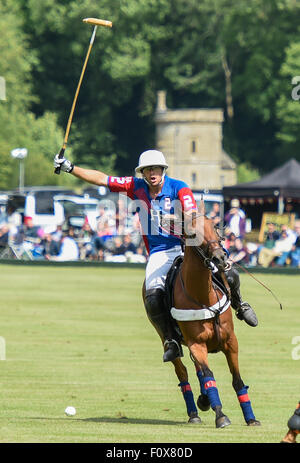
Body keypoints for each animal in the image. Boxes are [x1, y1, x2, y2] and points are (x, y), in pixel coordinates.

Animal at [142, 205, 258, 430]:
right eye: (193, 233)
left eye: (215, 227)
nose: (220, 258)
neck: (202, 295)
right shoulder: (196, 344)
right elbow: (209, 376)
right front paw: (221, 416)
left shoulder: (231, 342)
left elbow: (237, 380)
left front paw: (251, 418)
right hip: (167, 336)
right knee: (183, 372)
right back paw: (194, 411)